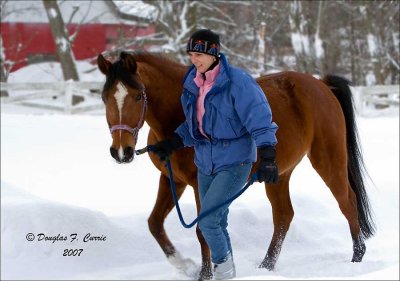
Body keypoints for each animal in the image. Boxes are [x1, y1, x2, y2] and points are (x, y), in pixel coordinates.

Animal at [97, 51, 376, 278]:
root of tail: (321, 84)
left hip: (328, 160)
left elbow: (202, 231)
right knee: (284, 215)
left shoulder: (199, 184)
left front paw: (204, 274)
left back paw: (357, 257)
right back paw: (266, 266)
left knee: (347, 202)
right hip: (278, 174)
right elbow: (154, 224)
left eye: (137, 96)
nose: (121, 151)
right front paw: (185, 266)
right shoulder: (171, 179)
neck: (177, 115)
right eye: (104, 97)